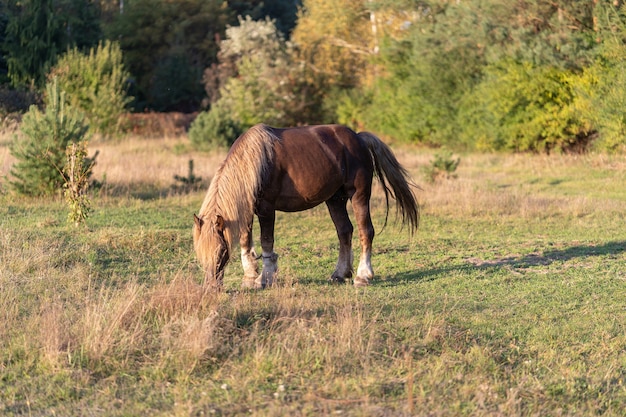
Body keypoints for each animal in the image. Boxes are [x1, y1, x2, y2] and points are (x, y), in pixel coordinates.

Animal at [194, 122, 420, 288]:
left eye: (221, 252)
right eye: (200, 254)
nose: (211, 287)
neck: (254, 163)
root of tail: (358, 138)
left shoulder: (267, 208)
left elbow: (266, 241)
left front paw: (264, 278)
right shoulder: (247, 209)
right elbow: (244, 239)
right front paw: (250, 276)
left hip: (359, 195)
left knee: (366, 231)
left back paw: (362, 276)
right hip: (335, 199)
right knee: (345, 231)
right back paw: (340, 273)